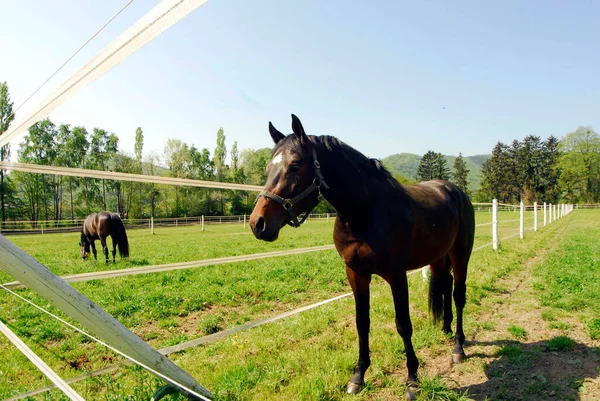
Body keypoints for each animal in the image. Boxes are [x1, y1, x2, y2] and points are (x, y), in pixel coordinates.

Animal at [248, 114, 474, 398]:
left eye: (295, 165)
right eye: (269, 167)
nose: (258, 223)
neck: (365, 210)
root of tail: (454, 191)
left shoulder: (397, 275)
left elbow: (403, 324)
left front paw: (412, 378)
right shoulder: (356, 273)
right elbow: (361, 322)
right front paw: (358, 375)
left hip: (460, 254)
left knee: (458, 295)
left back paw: (458, 347)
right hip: (437, 258)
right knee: (444, 286)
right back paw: (444, 329)